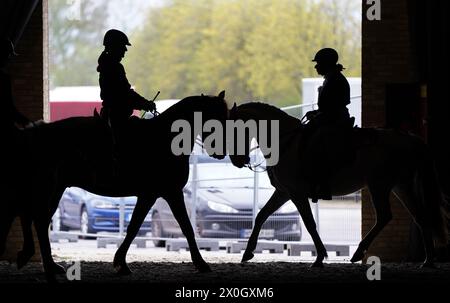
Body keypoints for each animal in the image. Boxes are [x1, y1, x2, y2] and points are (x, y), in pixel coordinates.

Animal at [0, 91, 229, 282]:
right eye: (215, 118)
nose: (221, 152)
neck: (164, 139)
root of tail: (34, 134)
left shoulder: (155, 195)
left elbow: (138, 226)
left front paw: (120, 262)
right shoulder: (166, 193)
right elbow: (182, 227)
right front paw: (201, 264)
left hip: (53, 189)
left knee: (36, 219)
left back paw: (47, 264)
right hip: (46, 188)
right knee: (35, 218)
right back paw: (44, 265)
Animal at [230, 102, 448, 268]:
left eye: (234, 130)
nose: (237, 161)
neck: (285, 141)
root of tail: (408, 138)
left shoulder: (296, 193)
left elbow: (309, 223)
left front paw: (319, 257)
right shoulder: (283, 192)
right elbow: (261, 216)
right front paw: (247, 253)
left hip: (379, 185)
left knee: (385, 216)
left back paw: (359, 252)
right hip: (400, 186)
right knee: (420, 217)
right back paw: (428, 261)